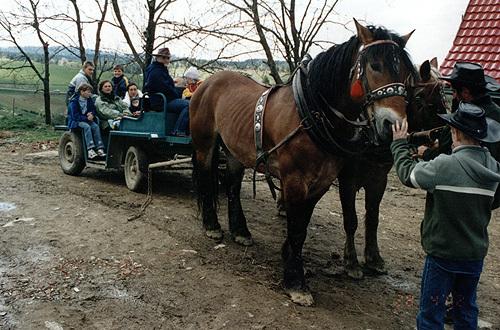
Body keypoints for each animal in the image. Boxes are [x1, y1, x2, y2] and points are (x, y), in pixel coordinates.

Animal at [189, 19, 416, 306]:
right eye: (375, 65)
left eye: (407, 74)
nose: (393, 126)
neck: (311, 114)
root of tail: (208, 82)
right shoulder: (295, 180)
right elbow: (297, 229)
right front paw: (296, 281)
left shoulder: (321, 182)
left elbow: (303, 225)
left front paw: (289, 257)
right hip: (204, 144)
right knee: (206, 180)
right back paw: (212, 226)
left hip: (234, 150)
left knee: (232, 186)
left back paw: (240, 231)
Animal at [338, 57, 448, 278]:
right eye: (421, 96)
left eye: (444, 97)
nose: (442, 137)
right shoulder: (347, 180)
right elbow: (351, 220)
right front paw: (351, 261)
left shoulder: (379, 180)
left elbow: (373, 218)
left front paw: (374, 258)